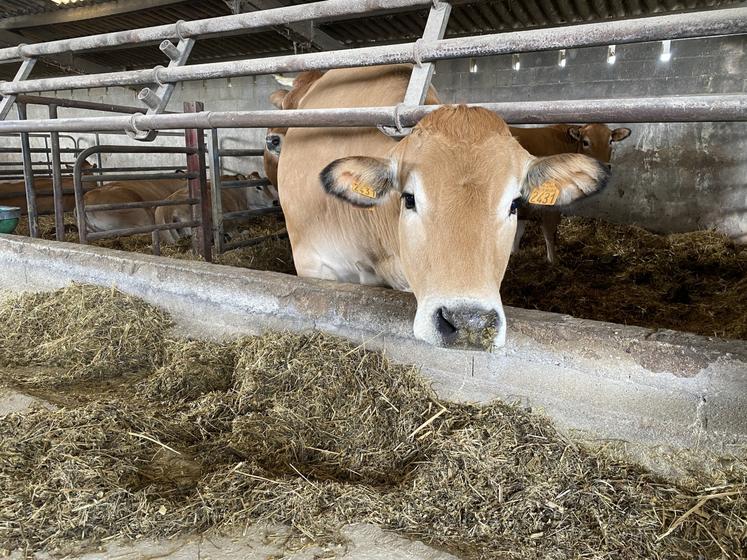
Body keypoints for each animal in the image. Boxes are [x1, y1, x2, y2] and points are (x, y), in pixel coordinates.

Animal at [509, 124, 631, 263]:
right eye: (585, 142)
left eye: (610, 141)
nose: (604, 167)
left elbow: (519, 228)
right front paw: (553, 261)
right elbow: (549, 231)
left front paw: (515, 253)